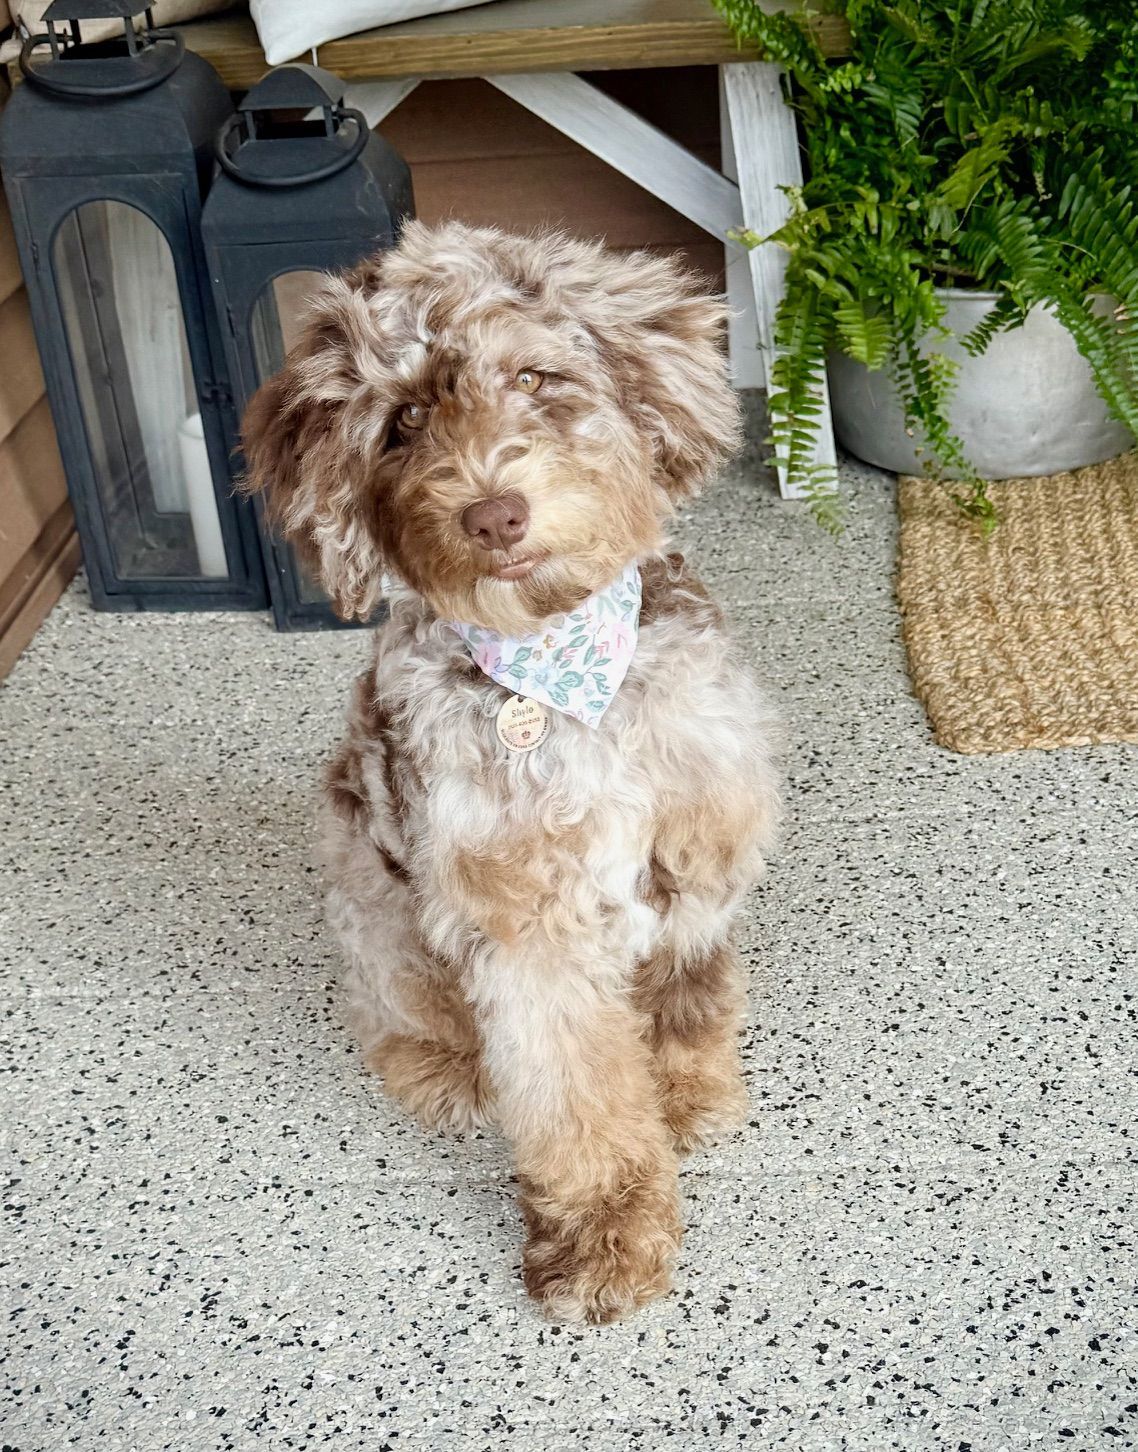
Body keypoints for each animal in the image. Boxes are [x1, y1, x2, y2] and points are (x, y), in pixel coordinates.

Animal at [241, 221, 782, 1323]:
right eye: (403, 420)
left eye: (535, 376)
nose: (494, 514)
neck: (564, 676)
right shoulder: (523, 918)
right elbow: (572, 1087)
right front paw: (606, 1235)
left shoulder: (702, 840)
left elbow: (688, 993)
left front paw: (688, 1093)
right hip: (370, 889)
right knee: (396, 1009)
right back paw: (445, 1071)